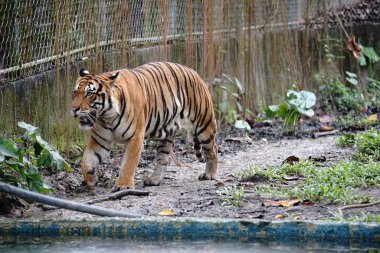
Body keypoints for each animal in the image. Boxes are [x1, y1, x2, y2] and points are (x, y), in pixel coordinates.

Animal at [70, 61, 217, 192]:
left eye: (89, 93)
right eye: (74, 93)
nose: (74, 109)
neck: (107, 117)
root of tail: (192, 71)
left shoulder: (135, 137)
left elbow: (128, 164)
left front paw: (123, 186)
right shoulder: (100, 140)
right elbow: (86, 161)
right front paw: (91, 179)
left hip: (204, 123)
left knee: (212, 150)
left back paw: (209, 174)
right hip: (166, 133)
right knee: (162, 158)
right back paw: (154, 179)